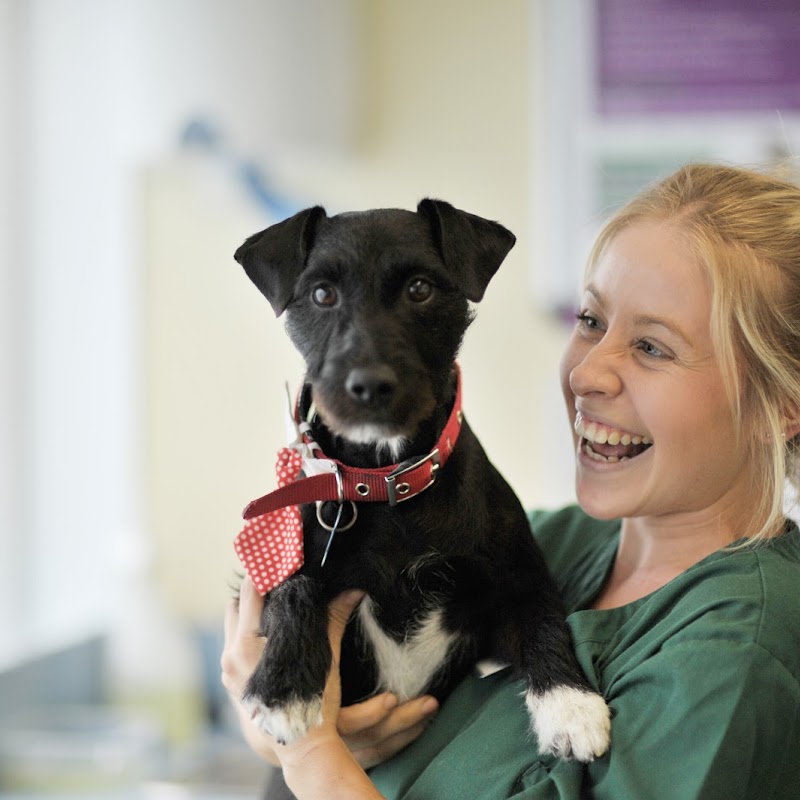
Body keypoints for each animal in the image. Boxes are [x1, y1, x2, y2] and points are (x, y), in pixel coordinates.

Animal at [234, 200, 608, 764]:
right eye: (321, 294)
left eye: (419, 288)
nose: (369, 384)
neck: (388, 484)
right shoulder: (282, 569)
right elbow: (295, 588)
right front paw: (284, 689)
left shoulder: (511, 576)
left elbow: (542, 616)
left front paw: (570, 705)